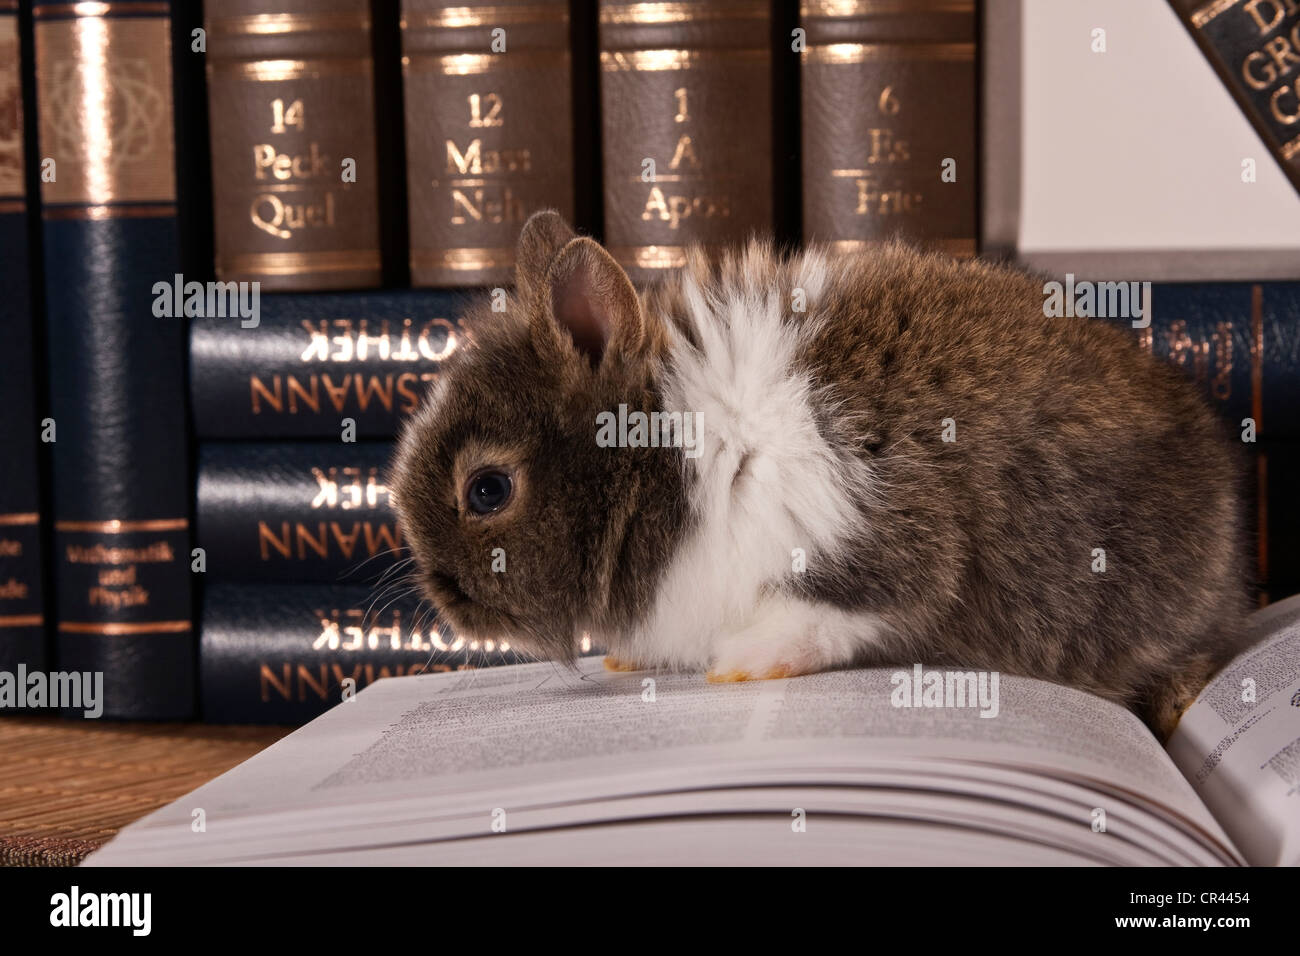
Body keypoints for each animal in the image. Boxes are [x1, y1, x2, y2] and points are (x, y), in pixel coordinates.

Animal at [392, 213, 1248, 743]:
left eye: (487, 489)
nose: (440, 596)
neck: (674, 459)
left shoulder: (872, 543)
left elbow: (841, 611)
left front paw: (739, 664)